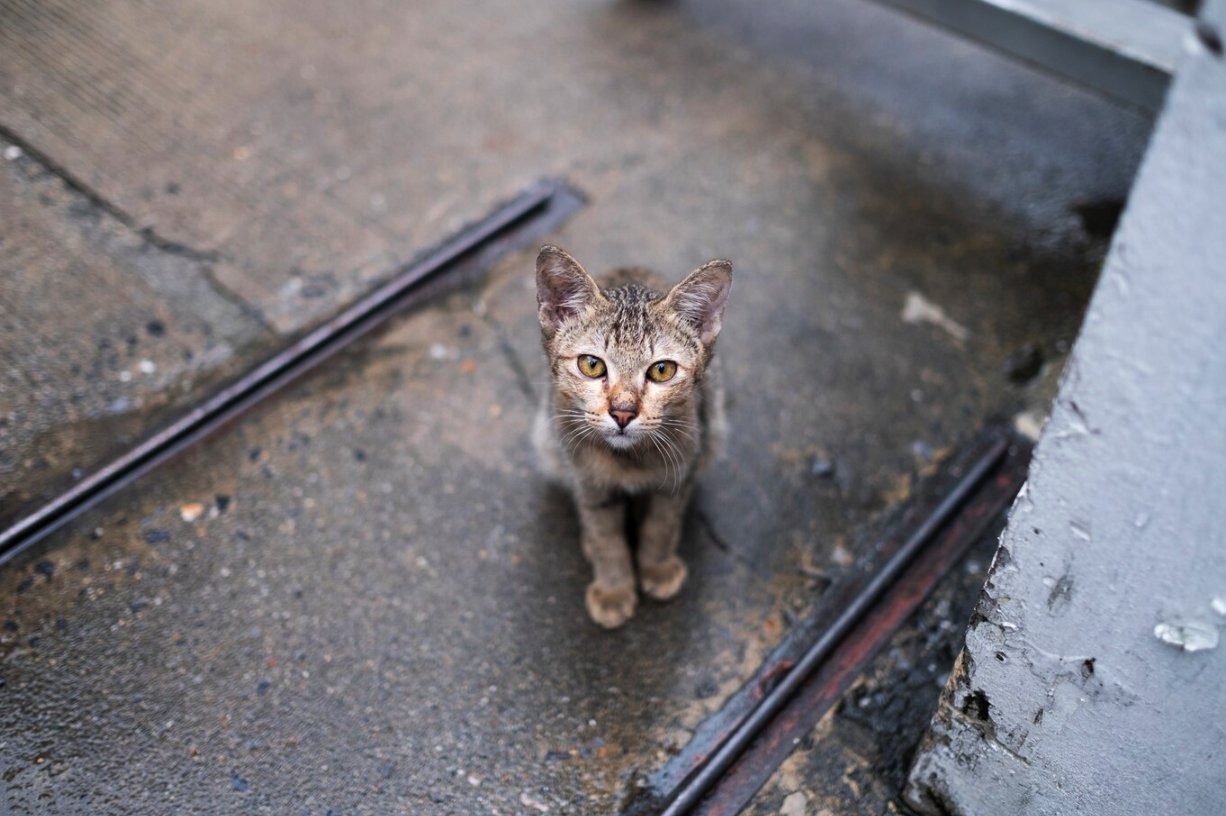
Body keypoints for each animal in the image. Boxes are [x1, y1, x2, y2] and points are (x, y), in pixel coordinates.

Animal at [534, 245, 725, 624]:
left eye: (662, 370)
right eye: (591, 365)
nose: (623, 412)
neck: (630, 460)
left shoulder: (681, 472)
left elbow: (660, 524)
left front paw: (657, 567)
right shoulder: (588, 482)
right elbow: (605, 535)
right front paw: (613, 589)